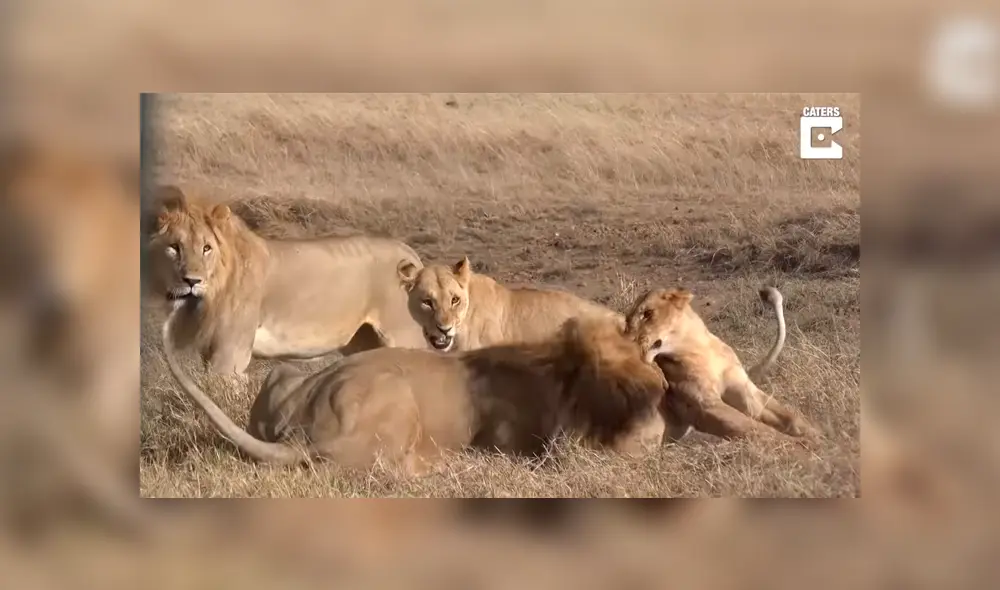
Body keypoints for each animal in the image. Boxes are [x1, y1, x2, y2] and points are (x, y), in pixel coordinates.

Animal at [146, 185, 429, 377]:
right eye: (174, 248)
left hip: (404, 335)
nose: (192, 281)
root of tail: (409, 252)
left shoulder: (229, 357)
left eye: (206, 248)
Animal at [161, 304, 668, 475]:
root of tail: (303, 432)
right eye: (618, 384)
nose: (661, 391)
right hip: (395, 396)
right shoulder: (526, 445)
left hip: (283, 374)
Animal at [624, 285, 820, 443]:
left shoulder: (743, 389)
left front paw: (817, 435)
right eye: (627, 321)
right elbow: (757, 429)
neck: (698, 348)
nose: (626, 341)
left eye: (647, 314)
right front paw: (801, 446)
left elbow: (787, 416)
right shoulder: (705, 405)